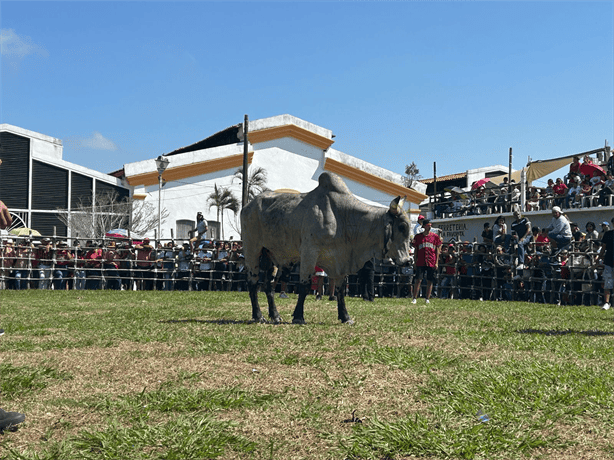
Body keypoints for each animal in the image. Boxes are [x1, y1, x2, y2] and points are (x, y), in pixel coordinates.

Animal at [243, 172, 412, 324]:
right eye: (402, 227)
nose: (408, 261)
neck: (343, 217)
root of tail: (248, 205)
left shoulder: (340, 261)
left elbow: (340, 290)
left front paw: (346, 317)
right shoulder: (309, 253)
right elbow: (304, 286)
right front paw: (298, 316)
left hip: (270, 255)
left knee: (268, 286)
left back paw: (275, 316)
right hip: (252, 251)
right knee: (252, 283)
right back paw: (258, 316)